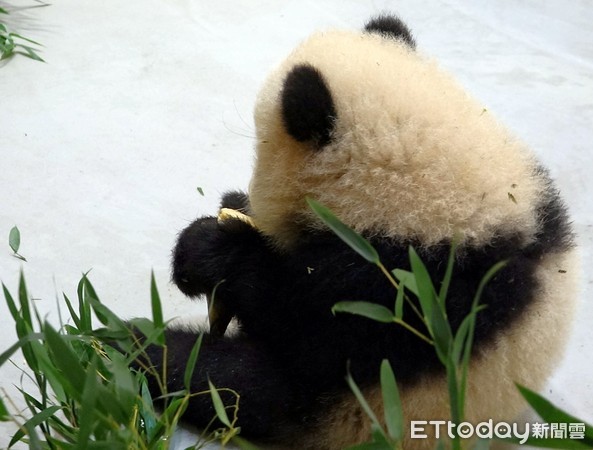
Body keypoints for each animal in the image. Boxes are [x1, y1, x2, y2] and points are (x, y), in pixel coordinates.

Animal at [138, 14, 572, 450]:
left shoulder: (416, 293)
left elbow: (298, 319)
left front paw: (209, 250)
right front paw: (231, 207)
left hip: (344, 411)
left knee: (218, 380)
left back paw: (135, 346)